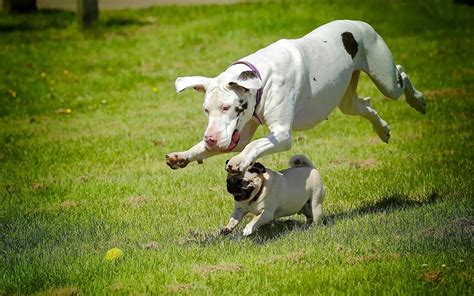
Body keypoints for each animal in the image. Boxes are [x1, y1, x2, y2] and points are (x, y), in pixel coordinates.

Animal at [166, 19, 426, 175]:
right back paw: (382, 129)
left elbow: (253, 145)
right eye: (206, 110)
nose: (210, 138)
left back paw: (417, 100)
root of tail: (360, 23)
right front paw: (183, 155)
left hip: (386, 80)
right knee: (364, 106)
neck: (261, 78)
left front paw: (239, 161)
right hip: (347, 100)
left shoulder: (281, 135)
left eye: (227, 108)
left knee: (401, 73)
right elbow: (221, 145)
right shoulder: (238, 134)